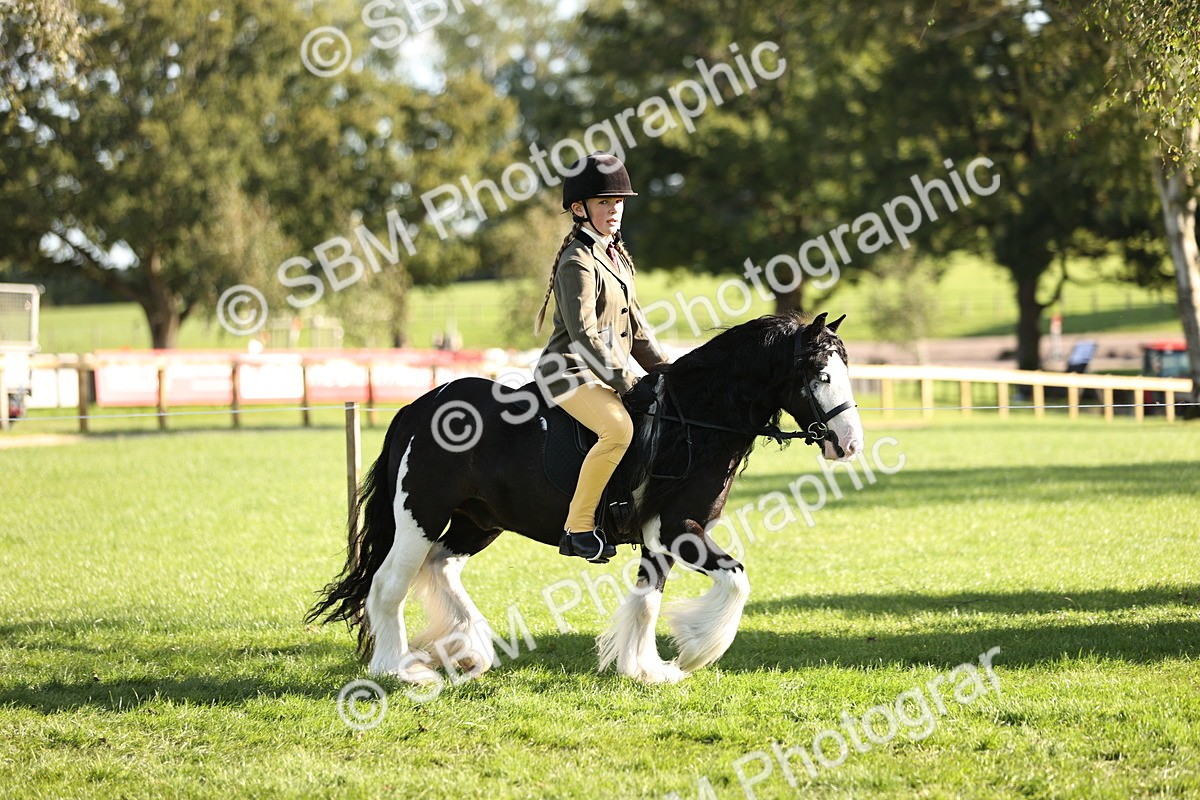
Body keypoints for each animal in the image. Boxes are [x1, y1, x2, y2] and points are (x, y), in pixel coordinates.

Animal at [307, 311, 864, 684]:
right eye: (820, 374)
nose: (850, 443)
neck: (691, 420)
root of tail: (420, 407)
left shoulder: (658, 537)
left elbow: (647, 600)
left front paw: (645, 669)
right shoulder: (678, 529)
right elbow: (736, 581)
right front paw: (694, 652)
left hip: (477, 523)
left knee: (439, 567)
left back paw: (469, 651)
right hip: (420, 515)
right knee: (388, 587)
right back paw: (399, 671)